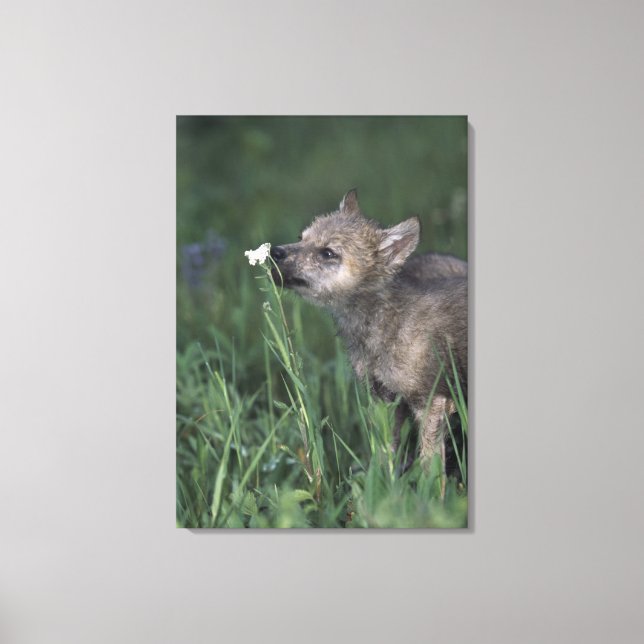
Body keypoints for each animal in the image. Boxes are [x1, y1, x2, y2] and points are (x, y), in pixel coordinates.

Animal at [270, 189, 467, 486]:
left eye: (328, 252)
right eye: (301, 237)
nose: (274, 251)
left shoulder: (430, 402)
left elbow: (430, 470)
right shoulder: (383, 399)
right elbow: (385, 455)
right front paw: (383, 490)